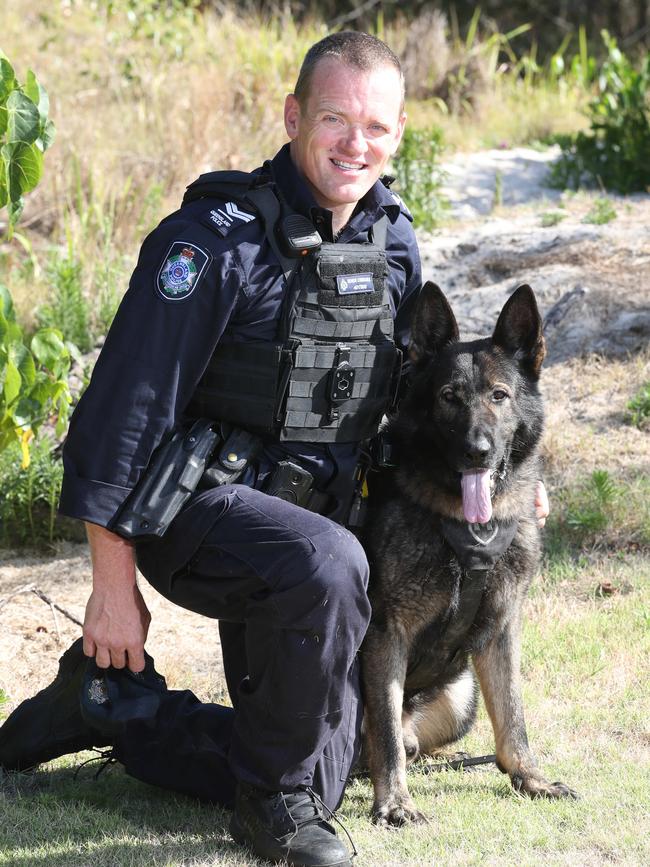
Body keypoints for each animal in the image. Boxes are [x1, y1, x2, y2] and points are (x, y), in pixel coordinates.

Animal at [360, 284, 576, 828]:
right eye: (449, 397)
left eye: (499, 395)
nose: (478, 451)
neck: (469, 530)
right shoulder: (387, 633)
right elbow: (384, 732)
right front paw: (395, 803)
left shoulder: (502, 628)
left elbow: (514, 714)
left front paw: (530, 778)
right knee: (390, 735)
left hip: (462, 698)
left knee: (418, 739)